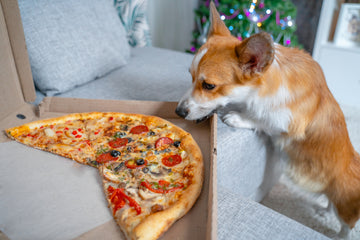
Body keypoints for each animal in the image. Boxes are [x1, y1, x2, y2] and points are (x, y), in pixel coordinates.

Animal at [176, 1, 360, 238]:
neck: (266, 84)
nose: (178, 112)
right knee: (329, 202)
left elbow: (261, 119)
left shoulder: (288, 124)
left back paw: (339, 234)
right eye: (190, 76)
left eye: (209, 85)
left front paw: (237, 117)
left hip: (346, 207)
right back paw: (324, 210)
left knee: (347, 225)